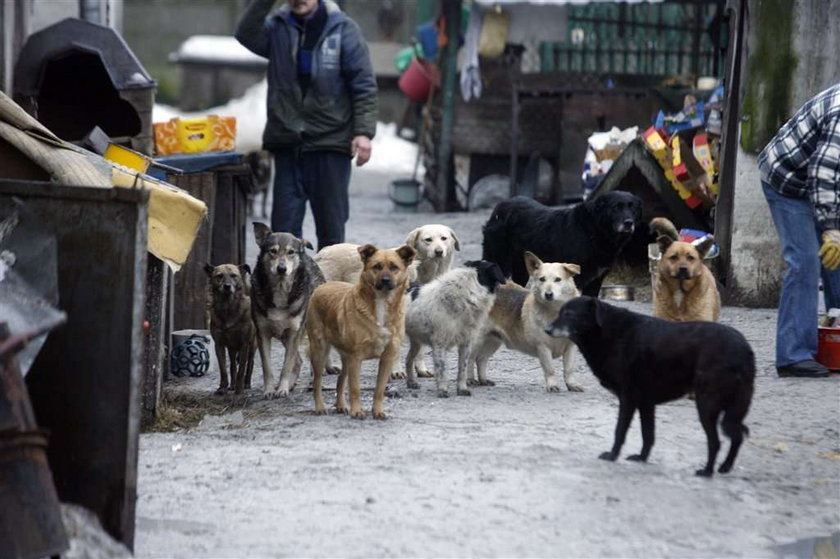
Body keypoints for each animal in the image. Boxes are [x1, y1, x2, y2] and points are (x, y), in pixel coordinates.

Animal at [306, 244, 416, 420]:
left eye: (394, 267)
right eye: (377, 266)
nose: (385, 280)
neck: (381, 304)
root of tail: (322, 286)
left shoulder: (387, 356)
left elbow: (379, 389)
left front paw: (378, 411)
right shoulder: (356, 358)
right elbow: (355, 388)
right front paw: (357, 411)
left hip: (345, 357)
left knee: (340, 380)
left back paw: (341, 406)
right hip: (319, 351)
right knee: (317, 382)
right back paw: (320, 407)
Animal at [470, 254, 580, 394]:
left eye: (558, 279)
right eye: (542, 279)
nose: (548, 294)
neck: (554, 312)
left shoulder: (570, 347)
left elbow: (569, 369)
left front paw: (572, 384)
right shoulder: (543, 348)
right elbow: (550, 370)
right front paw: (552, 385)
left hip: (493, 340)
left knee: (481, 359)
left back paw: (483, 380)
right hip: (477, 340)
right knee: (469, 360)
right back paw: (469, 380)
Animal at [480, 192, 644, 296]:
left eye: (633, 208)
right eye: (616, 208)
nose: (629, 223)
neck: (594, 229)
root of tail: (500, 206)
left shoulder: (595, 281)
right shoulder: (576, 278)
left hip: (521, 266)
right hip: (498, 262)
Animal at [544, 298, 756, 476]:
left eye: (569, 314)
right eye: (559, 312)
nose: (546, 330)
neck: (608, 333)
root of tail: (743, 349)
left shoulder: (628, 399)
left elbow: (620, 431)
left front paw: (612, 456)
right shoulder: (646, 403)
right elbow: (648, 434)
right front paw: (641, 458)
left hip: (706, 405)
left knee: (716, 442)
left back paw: (707, 471)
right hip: (732, 409)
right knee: (737, 436)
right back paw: (725, 467)